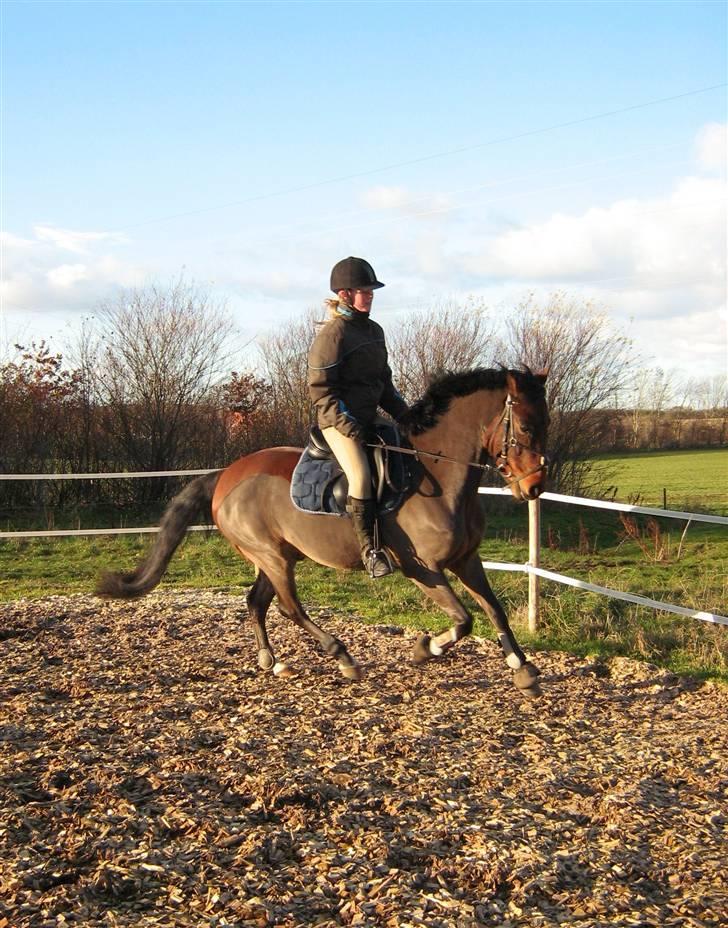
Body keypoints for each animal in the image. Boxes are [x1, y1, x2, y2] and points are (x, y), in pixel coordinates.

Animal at [97, 367, 549, 697]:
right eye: (526, 427)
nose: (533, 489)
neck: (437, 471)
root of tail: (225, 474)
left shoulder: (467, 560)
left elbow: (493, 610)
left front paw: (522, 667)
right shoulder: (423, 569)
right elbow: (463, 619)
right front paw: (426, 649)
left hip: (277, 555)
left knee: (257, 602)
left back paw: (273, 661)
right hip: (271, 556)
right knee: (289, 608)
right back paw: (343, 658)